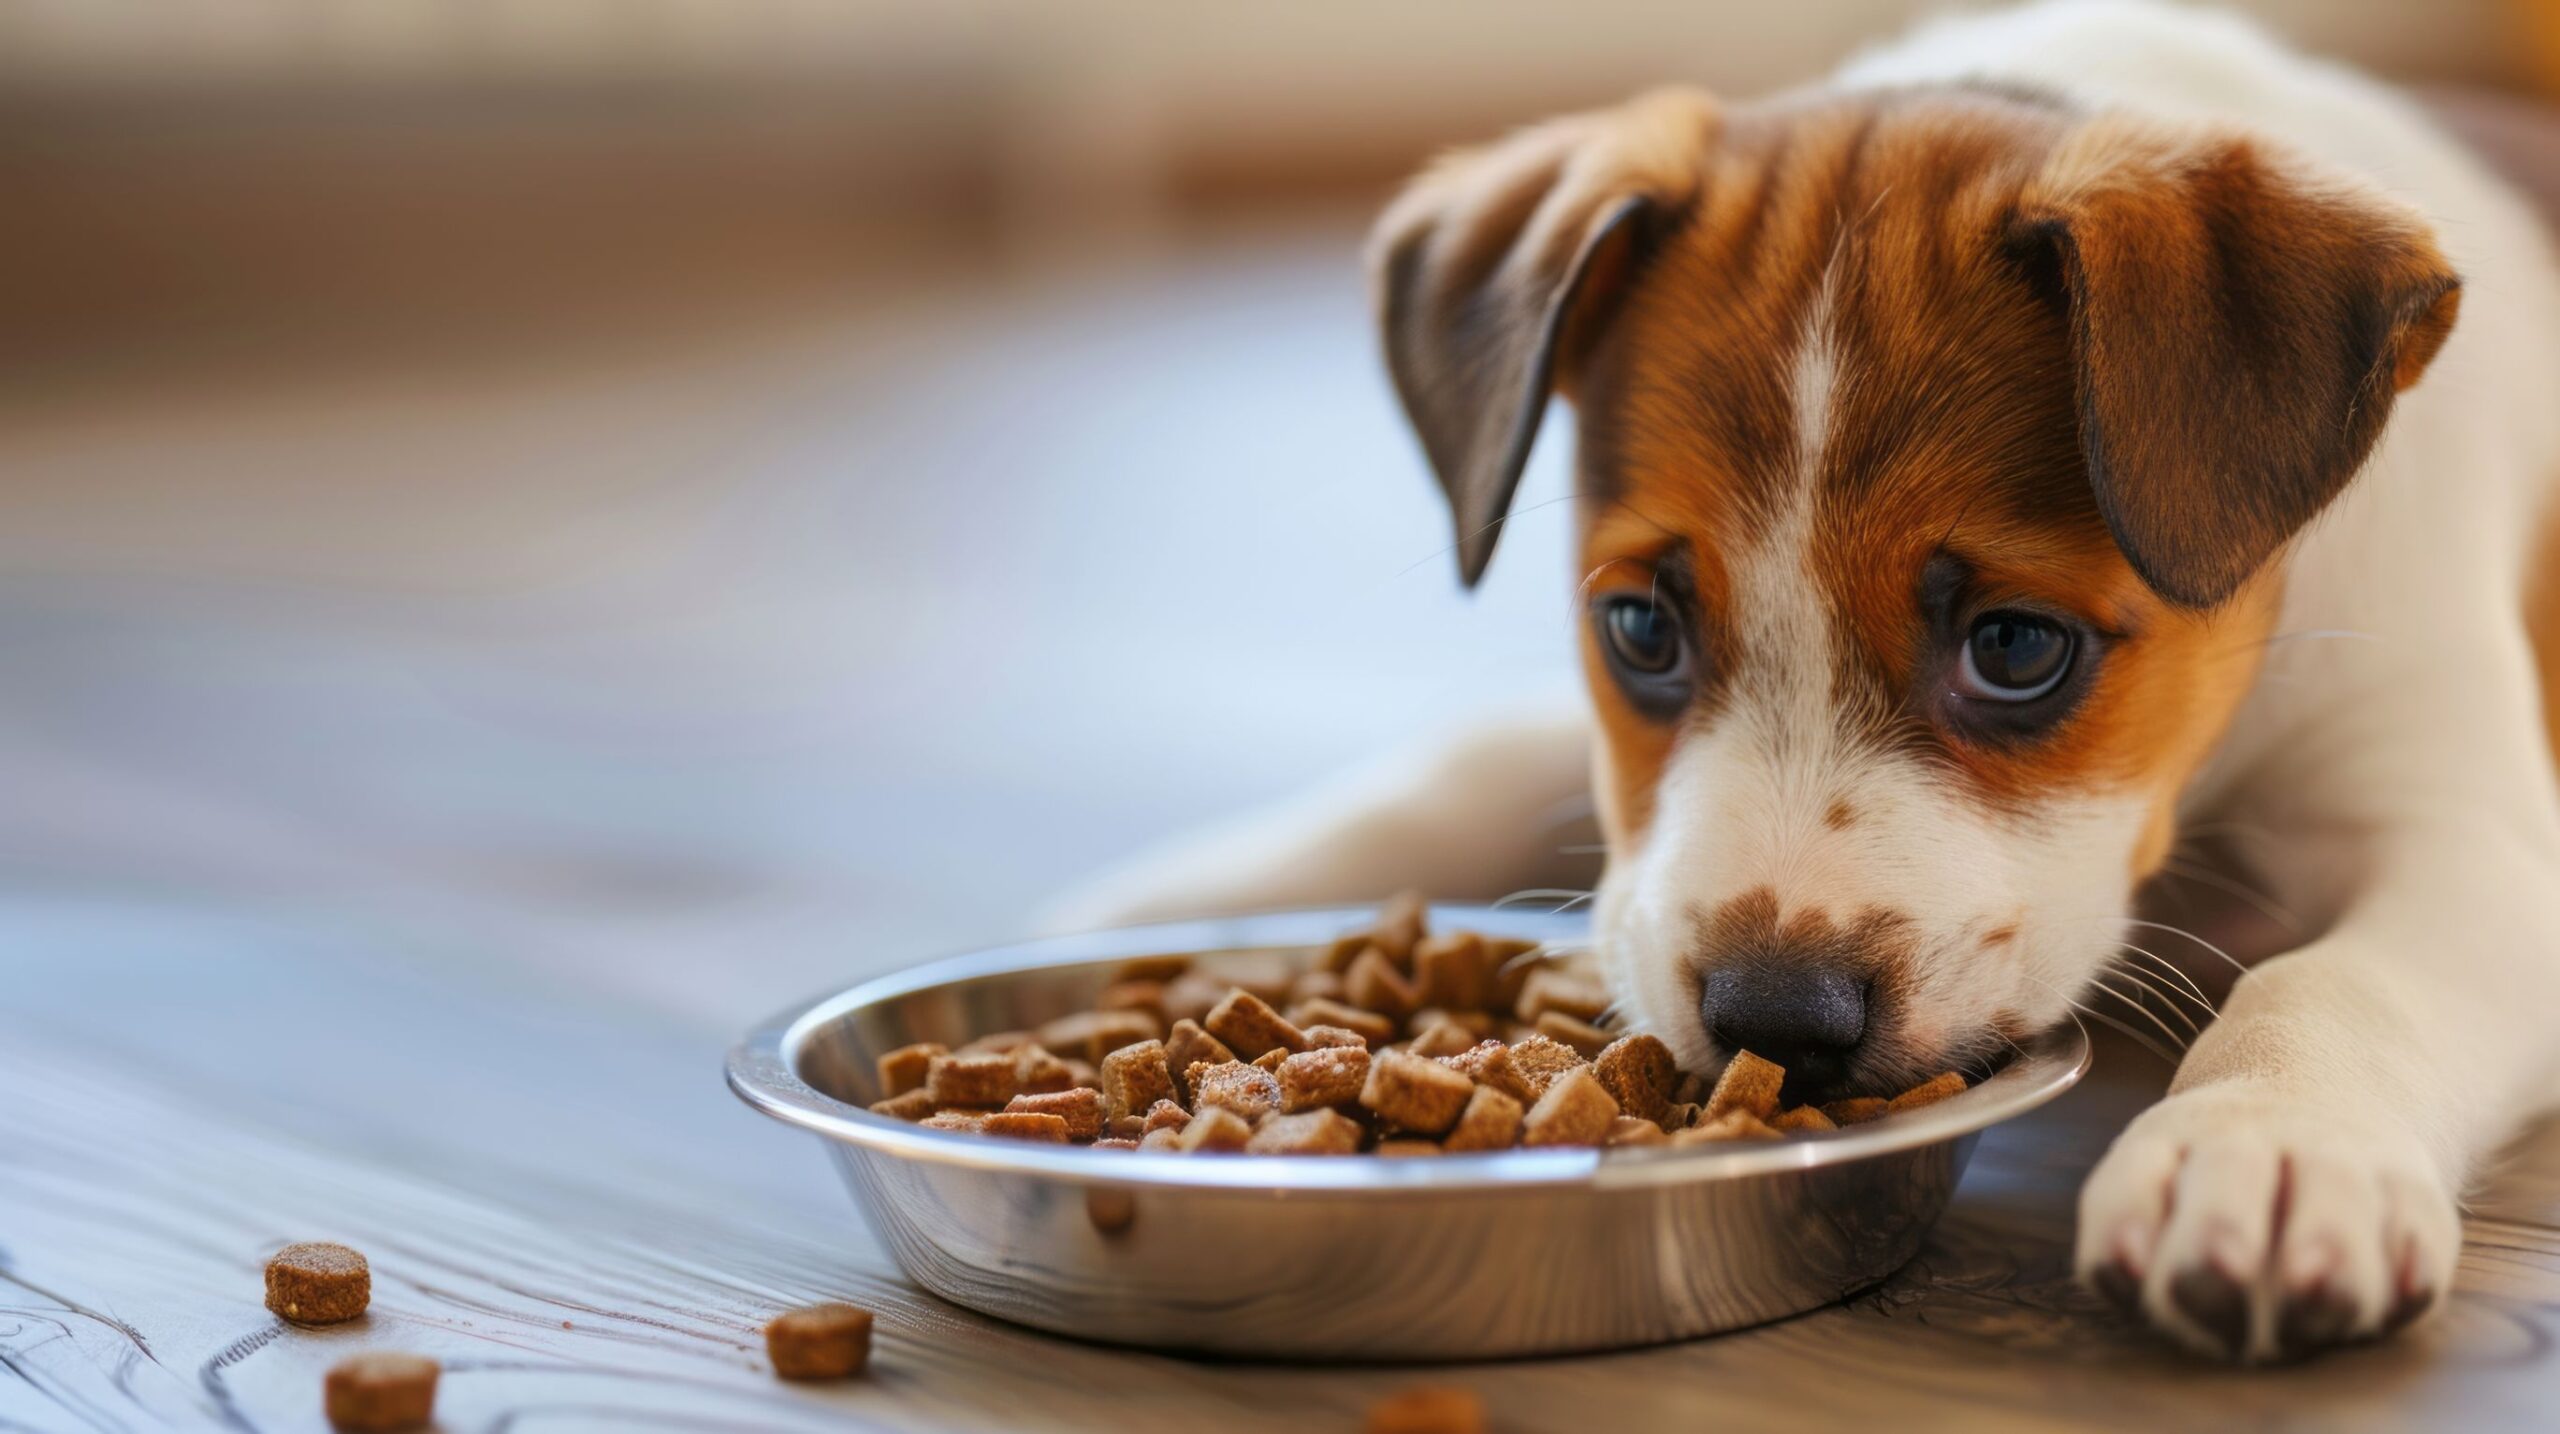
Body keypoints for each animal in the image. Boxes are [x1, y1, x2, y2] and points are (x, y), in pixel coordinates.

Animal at [1054, 0, 2560, 1362]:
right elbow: (1472, 757)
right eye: (1638, 628)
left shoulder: (2480, 843)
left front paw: (2265, 1140)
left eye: (2018, 648)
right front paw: (1195, 889)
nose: (1778, 1019)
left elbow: (2336, 980)